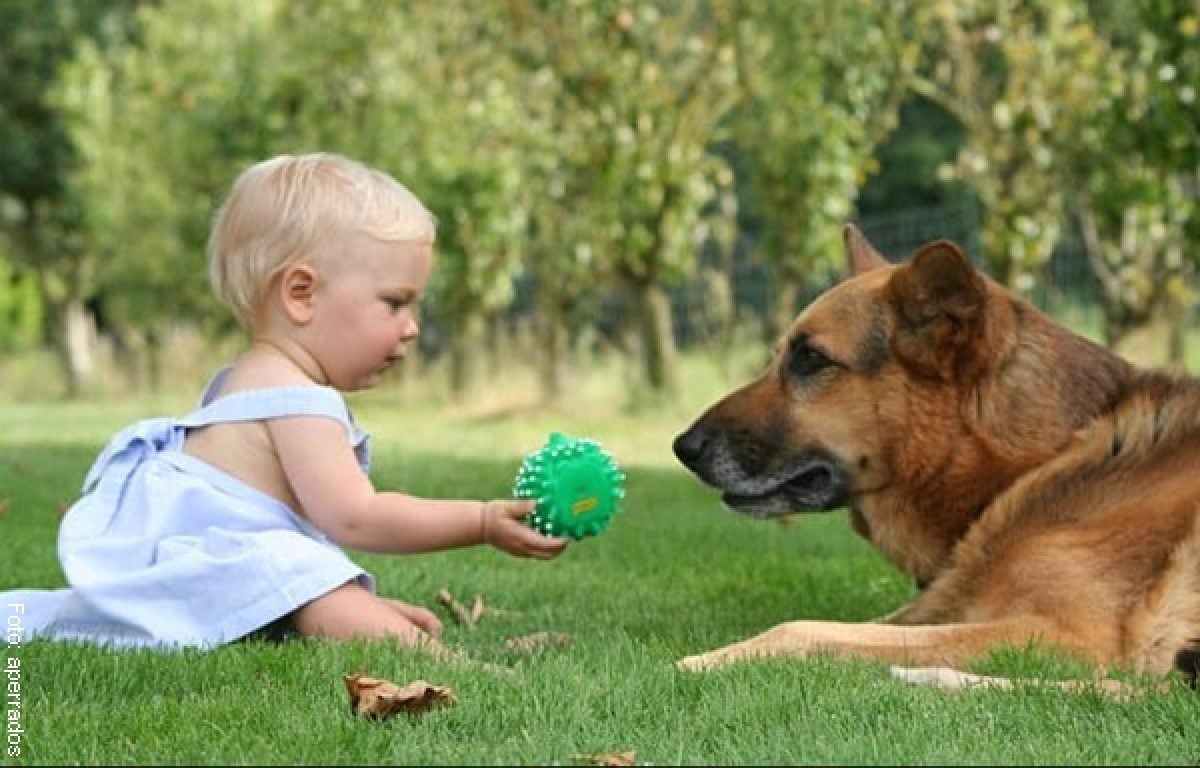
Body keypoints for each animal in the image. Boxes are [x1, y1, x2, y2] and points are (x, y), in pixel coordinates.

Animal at [676, 225, 1200, 691]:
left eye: (812, 359)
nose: (683, 448)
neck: (1040, 460)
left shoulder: (1069, 637)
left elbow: (801, 628)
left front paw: (694, 663)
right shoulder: (937, 609)